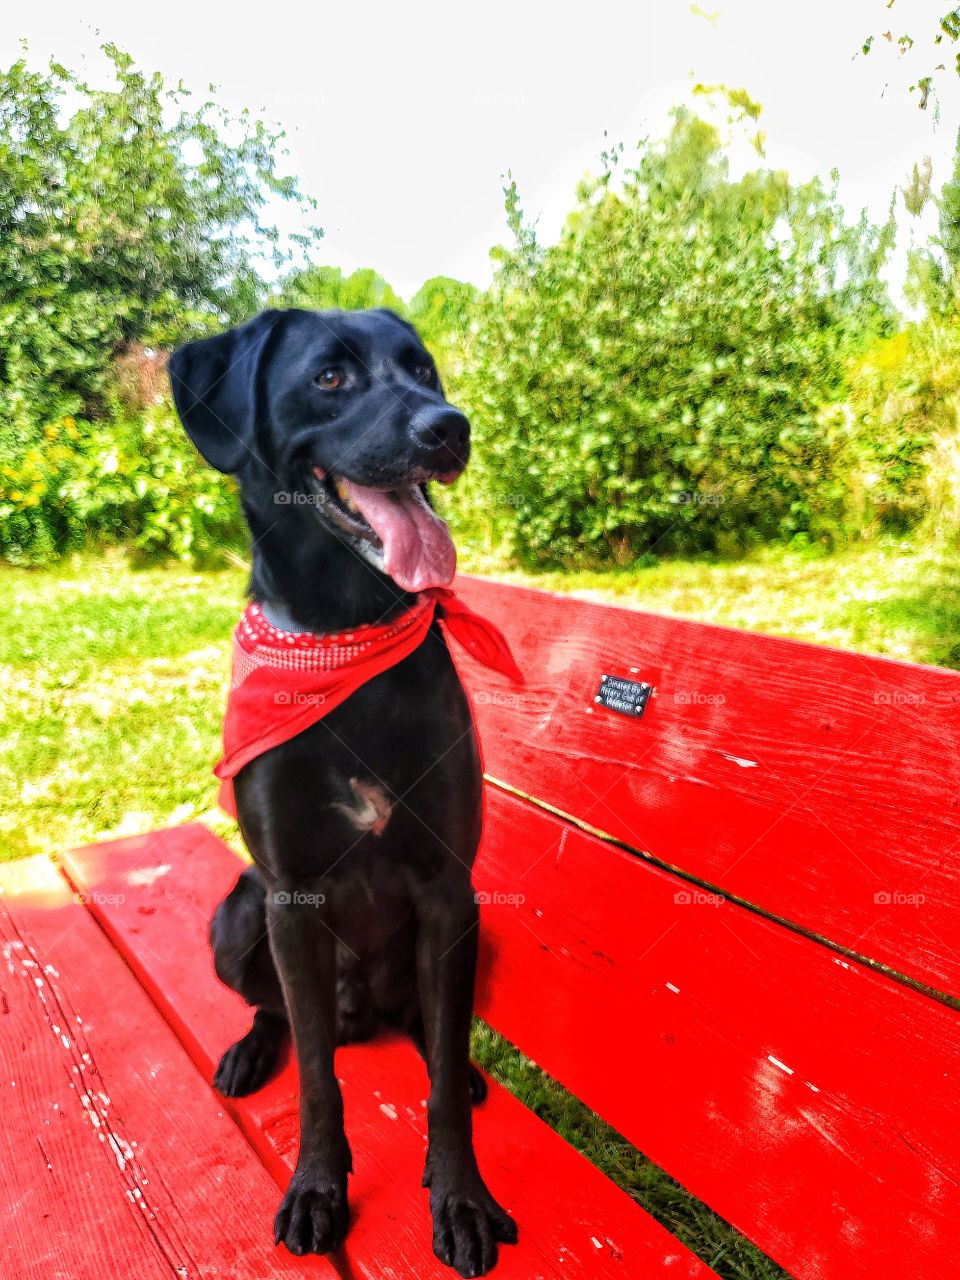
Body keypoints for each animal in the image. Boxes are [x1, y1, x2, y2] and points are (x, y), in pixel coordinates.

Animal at [172, 304, 519, 1274]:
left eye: (424, 368)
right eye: (329, 377)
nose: (449, 428)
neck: (344, 635)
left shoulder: (447, 889)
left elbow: (439, 1081)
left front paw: (462, 1199)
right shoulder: (289, 896)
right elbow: (321, 1081)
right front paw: (317, 1190)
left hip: (476, 930)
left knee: (431, 1033)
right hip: (236, 915)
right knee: (285, 1016)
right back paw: (251, 1053)